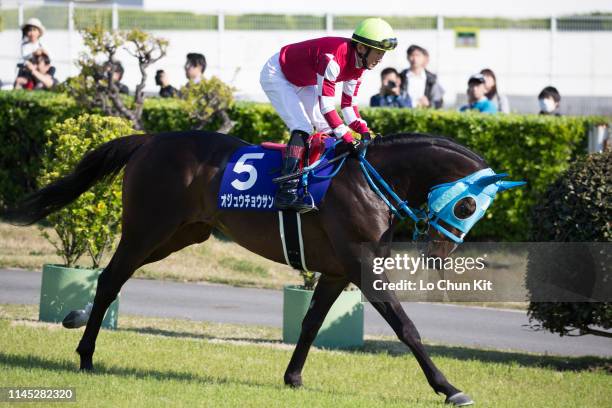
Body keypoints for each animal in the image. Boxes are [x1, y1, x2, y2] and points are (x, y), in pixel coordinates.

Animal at [3, 132, 488, 406]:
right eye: (467, 206)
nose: (441, 253)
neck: (368, 178)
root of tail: (149, 139)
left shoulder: (337, 270)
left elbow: (312, 323)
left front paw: (293, 377)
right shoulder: (361, 264)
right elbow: (406, 328)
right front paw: (449, 388)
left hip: (181, 234)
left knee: (115, 277)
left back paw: (77, 316)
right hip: (148, 227)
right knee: (109, 278)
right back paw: (86, 354)